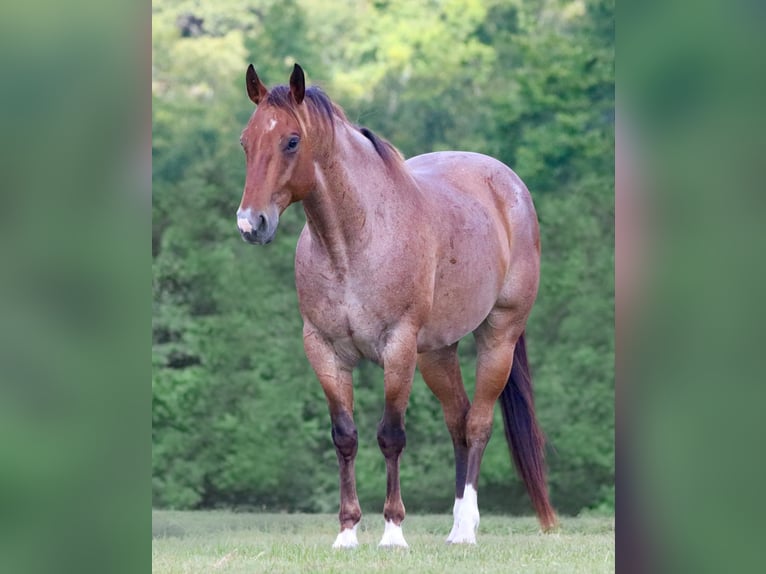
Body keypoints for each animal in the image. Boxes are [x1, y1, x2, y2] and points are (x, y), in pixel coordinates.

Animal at [236, 63, 557, 548]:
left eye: (291, 140)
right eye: (246, 141)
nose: (250, 224)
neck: (353, 243)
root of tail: (509, 185)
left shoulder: (398, 348)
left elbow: (391, 435)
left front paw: (392, 532)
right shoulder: (324, 350)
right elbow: (344, 436)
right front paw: (347, 533)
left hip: (498, 335)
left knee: (478, 424)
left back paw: (465, 530)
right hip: (437, 353)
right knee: (458, 422)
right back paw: (458, 524)